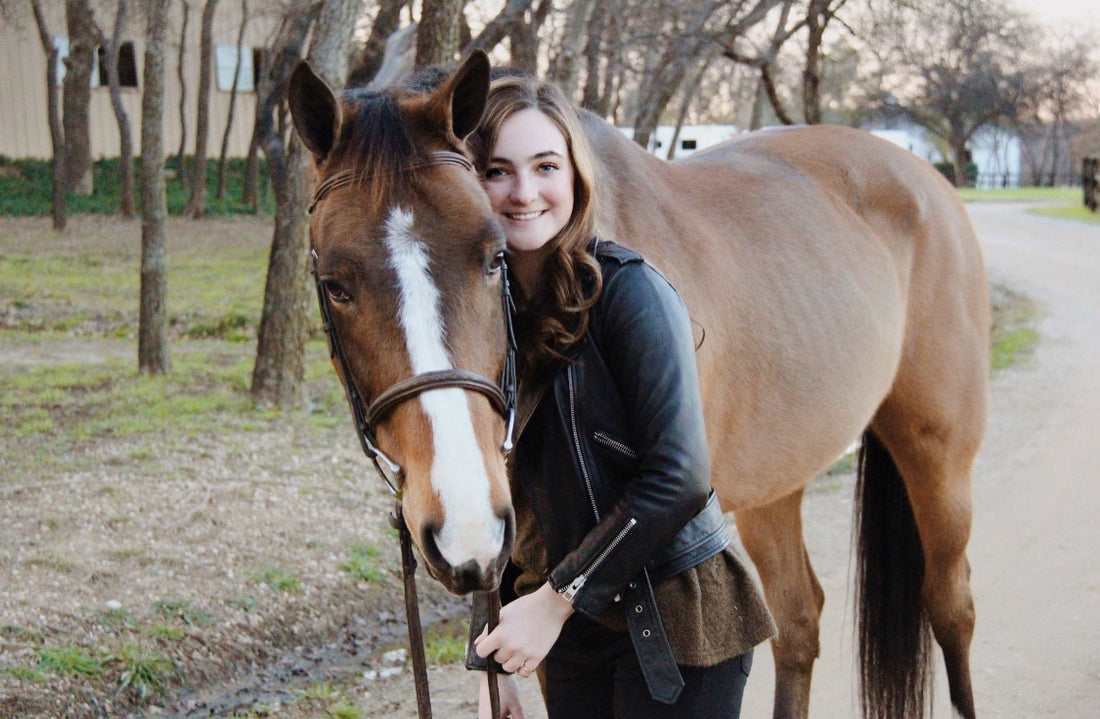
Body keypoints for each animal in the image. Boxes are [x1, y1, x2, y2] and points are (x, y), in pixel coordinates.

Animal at [286, 52, 990, 719]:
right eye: (335, 284)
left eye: (493, 259)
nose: (463, 524)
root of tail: (923, 176)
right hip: (776, 481)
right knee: (796, 620)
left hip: (938, 457)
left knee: (951, 607)